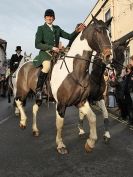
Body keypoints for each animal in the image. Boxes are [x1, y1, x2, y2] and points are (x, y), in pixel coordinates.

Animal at [14, 17, 112, 155]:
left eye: (109, 34)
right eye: (98, 31)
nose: (109, 56)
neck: (74, 71)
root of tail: (23, 65)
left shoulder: (81, 101)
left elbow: (92, 118)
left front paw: (90, 143)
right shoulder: (61, 104)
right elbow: (59, 124)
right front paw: (60, 145)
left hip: (39, 96)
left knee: (34, 108)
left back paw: (35, 129)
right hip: (22, 90)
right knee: (18, 102)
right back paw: (23, 121)